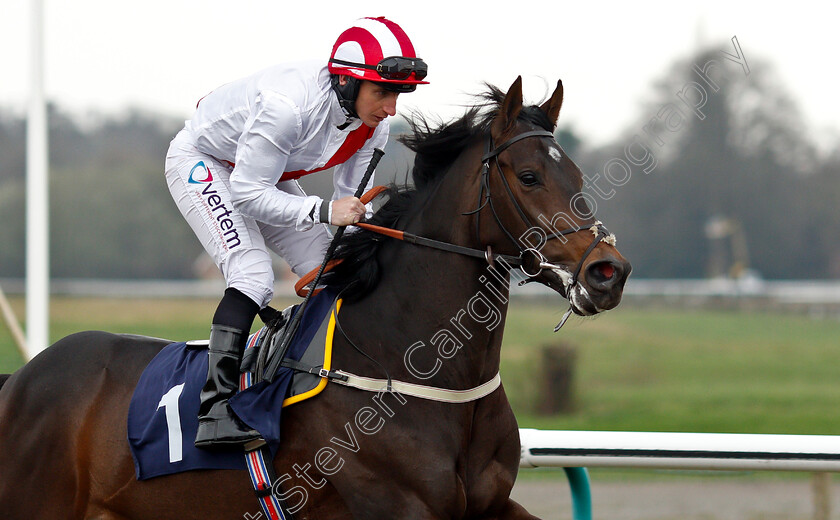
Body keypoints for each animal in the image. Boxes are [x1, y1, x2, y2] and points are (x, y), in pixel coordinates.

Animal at [0, 77, 632, 520]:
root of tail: (23, 378)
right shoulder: (396, 506)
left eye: (578, 176)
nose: (609, 272)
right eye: (528, 176)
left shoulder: (492, 505)